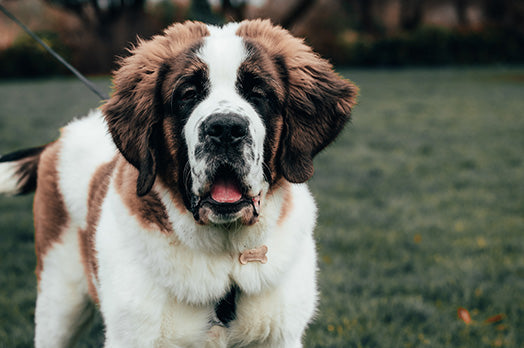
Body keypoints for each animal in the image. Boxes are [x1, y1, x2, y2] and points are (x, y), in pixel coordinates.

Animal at [0, 19, 356, 348]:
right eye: (188, 94)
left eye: (259, 94)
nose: (225, 129)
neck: (225, 258)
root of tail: (57, 140)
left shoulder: (280, 336)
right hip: (59, 300)